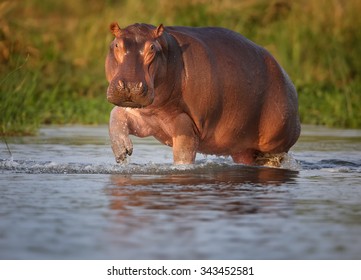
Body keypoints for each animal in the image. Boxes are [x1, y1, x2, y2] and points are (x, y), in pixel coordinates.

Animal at [104, 23, 298, 166]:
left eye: (152, 47)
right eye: (116, 44)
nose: (130, 86)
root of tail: (284, 73)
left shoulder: (185, 122)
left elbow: (184, 154)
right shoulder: (144, 117)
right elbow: (116, 115)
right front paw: (122, 153)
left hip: (273, 147)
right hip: (243, 149)